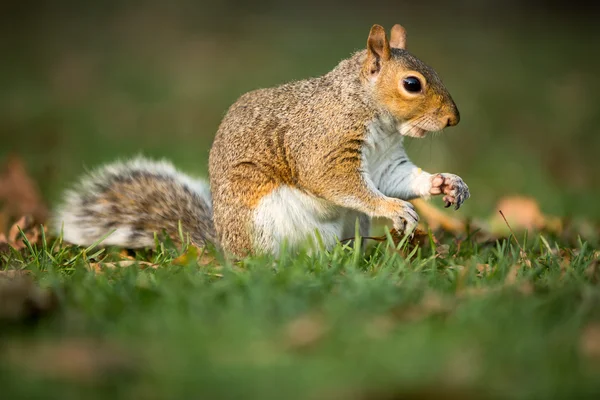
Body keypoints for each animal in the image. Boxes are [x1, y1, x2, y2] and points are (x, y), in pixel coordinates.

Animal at [52, 24, 468, 256]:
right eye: (412, 84)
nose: (453, 119)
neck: (376, 120)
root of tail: (225, 247)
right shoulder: (323, 144)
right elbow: (337, 181)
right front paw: (393, 208)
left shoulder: (385, 160)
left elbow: (394, 180)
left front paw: (445, 182)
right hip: (265, 221)